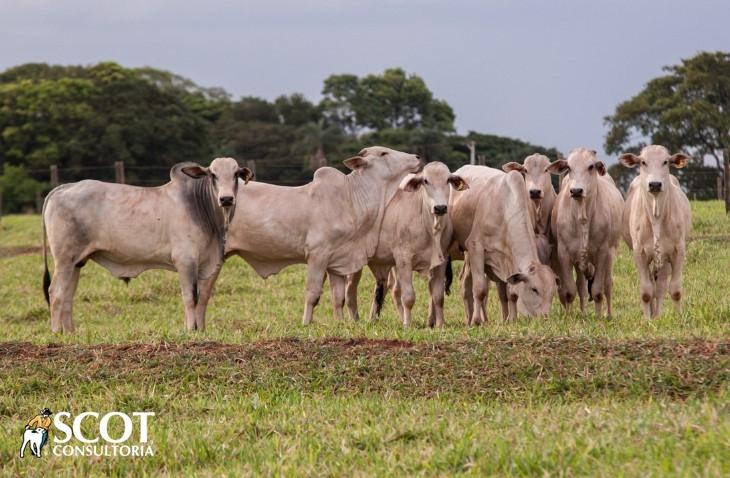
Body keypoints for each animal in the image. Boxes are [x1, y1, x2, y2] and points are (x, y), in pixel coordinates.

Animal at [43, 159, 253, 330]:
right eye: (213, 174)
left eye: (236, 174)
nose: (226, 199)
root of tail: (63, 188)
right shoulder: (185, 260)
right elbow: (190, 297)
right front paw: (190, 330)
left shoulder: (205, 263)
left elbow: (202, 298)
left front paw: (200, 330)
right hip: (63, 260)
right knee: (56, 293)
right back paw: (57, 332)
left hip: (76, 262)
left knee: (68, 295)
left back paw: (70, 332)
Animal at [223, 146, 420, 324]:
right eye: (383, 153)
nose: (417, 157)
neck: (351, 198)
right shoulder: (317, 255)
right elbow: (313, 293)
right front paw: (306, 323)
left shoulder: (337, 261)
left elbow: (338, 297)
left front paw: (340, 323)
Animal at [342, 162, 466, 326]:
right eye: (425, 181)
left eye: (448, 180)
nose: (440, 207)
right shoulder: (404, 260)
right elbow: (408, 296)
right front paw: (408, 324)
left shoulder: (441, 261)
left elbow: (438, 296)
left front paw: (440, 324)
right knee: (350, 290)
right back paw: (354, 320)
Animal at [446, 164, 556, 324]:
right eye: (534, 289)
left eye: (553, 292)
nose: (545, 317)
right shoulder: (475, 247)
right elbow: (479, 289)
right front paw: (476, 321)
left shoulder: (509, 261)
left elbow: (511, 294)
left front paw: (511, 319)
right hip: (467, 253)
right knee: (466, 284)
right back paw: (471, 319)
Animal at [544, 148, 620, 316]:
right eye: (569, 167)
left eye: (591, 166)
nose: (576, 190)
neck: (582, 216)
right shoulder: (564, 254)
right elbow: (570, 291)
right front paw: (568, 316)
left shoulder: (602, 253)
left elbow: (597, 291)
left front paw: (598, 316)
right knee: (581, 287)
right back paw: (584, 312)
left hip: (610, 255)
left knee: (608, 285)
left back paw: (609, 314)